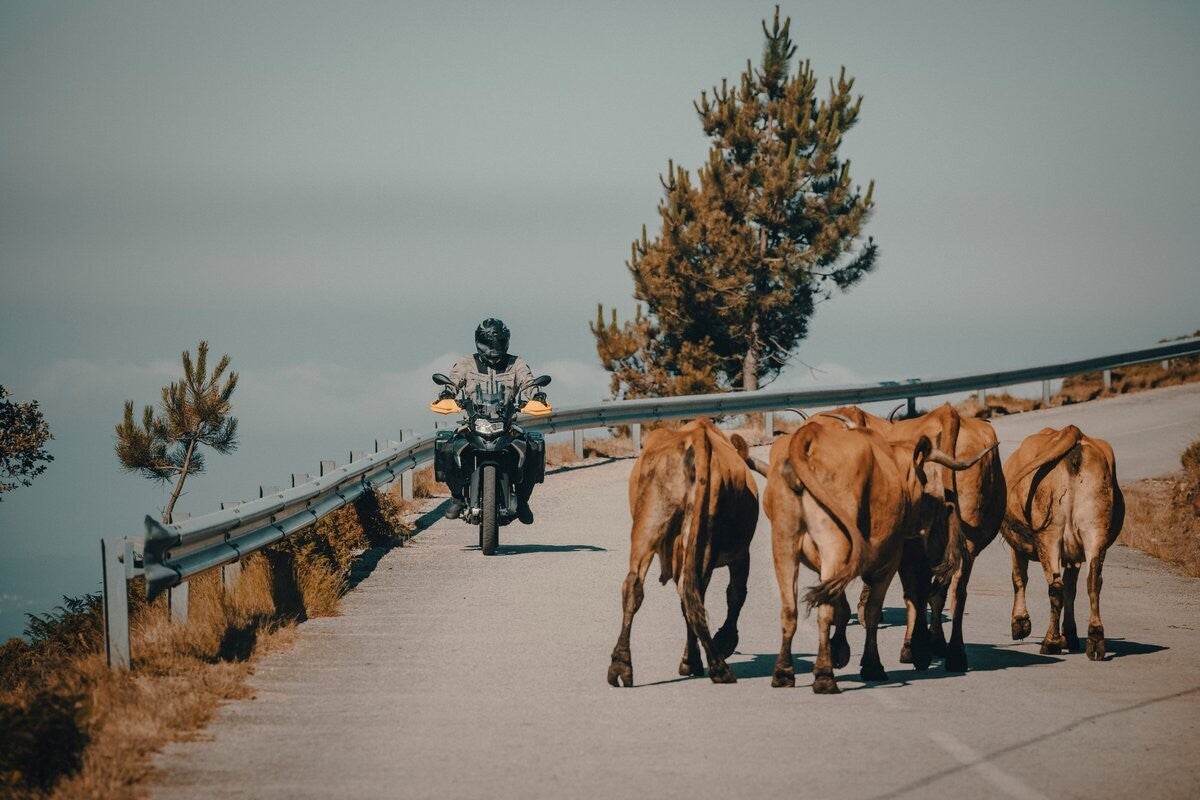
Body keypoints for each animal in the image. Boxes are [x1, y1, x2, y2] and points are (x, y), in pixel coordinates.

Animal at [607, 418, 760, 687]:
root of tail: (697, 438)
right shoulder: (742, 553)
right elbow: (736, 595)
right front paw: (725, 641)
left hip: (648, 524)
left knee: (635, 587)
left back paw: (621, 665)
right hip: (702, 543)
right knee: (693, 592)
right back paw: (716, 666)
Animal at [762, 418, 994, 693]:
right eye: (933, 494)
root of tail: (809, 436)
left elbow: (844, 606)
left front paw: (840, 650)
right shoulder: (889, 559)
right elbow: (871, 610)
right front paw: (871, 664)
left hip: (784, 544)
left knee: (790, 609)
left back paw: (783, 672)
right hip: (834, 543)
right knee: (824, 611)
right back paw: (824, 676)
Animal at [1001, 425, 1124, 660]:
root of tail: (1074, 433)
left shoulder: (1016, 545)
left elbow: (1019, 579)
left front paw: (1020, 623)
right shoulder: (1073, 556)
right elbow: (1071, 590)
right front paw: (1070, 634)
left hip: (1050, 533)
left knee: (1055, 587)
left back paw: (1050, 642)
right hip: (1095, 531)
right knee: (1093, 582)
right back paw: (1095, 640)